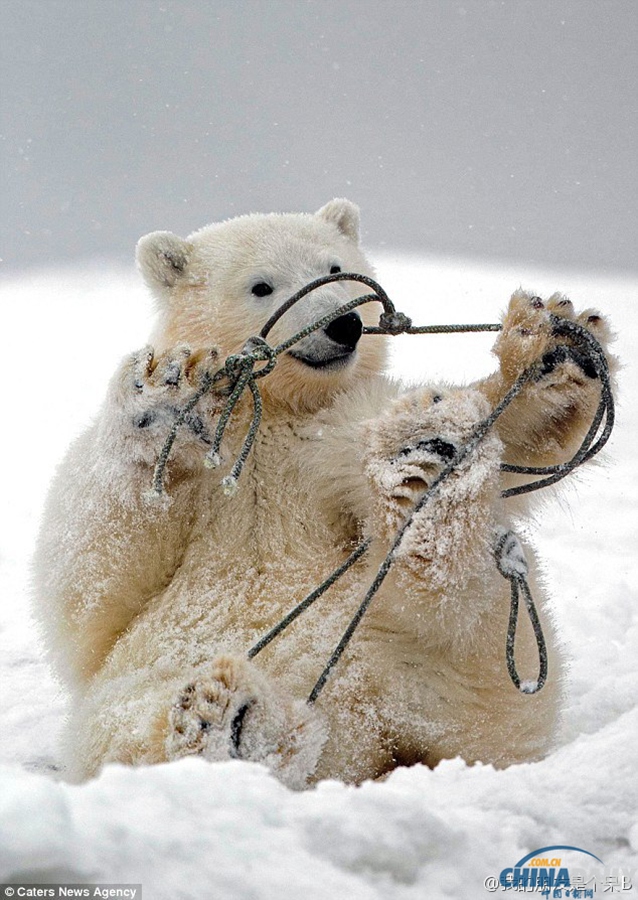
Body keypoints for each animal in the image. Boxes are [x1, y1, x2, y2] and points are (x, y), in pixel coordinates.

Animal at [33, 199, 616, 788]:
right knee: (127, 724)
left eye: (335, 269)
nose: (344, 324)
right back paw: (228, 720)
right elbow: (93, 578)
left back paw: (423, 467)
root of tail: (368, 745)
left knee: (464, 618)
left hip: (464, 674)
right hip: (146, 680)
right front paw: (160, 395)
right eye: (262, 286)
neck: (276, 412)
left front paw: (555, 348)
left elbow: (512, 438)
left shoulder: (336, 435)